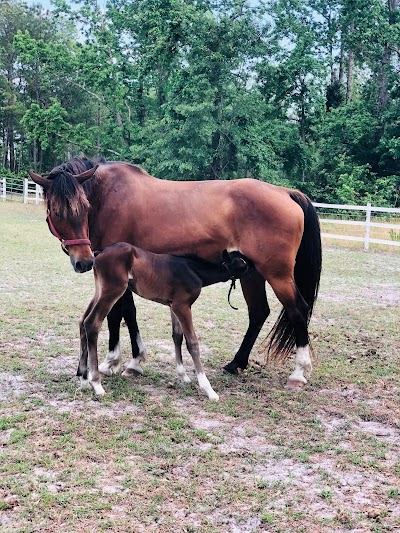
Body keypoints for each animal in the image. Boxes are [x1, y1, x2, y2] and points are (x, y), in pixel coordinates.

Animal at [77, 244, 252, 400]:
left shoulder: (173, 306)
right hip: (113, 290)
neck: (195, 270)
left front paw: (183, 376)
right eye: (243, 263)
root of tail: (100, 253)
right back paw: (96, 384)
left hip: (100, 290)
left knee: (82, 321)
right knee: (92, 323)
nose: (255, 268)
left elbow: (177, 336)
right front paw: (208, 389)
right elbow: (192, 342)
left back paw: (84, 379)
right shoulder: (182, 306)